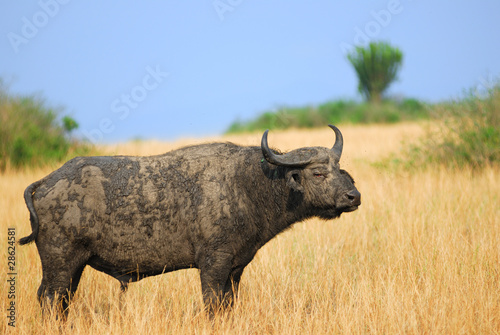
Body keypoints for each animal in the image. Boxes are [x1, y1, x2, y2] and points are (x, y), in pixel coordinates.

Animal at [20, 125, 360, 318]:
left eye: (339, 167)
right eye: (318, 173)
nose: (353, 196)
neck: (247, 186)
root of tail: (46, 182)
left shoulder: (235, 270)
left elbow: (228, 306)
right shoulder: (213, 265)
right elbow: (212, 306)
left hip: (73, 267)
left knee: (58, 301)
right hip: (60, 264)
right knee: (50, 299)